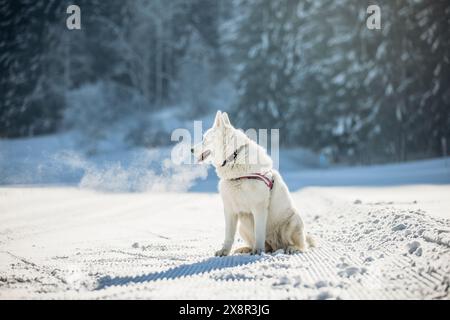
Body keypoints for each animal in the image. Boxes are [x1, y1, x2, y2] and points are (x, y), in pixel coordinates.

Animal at [192, 110, 314, 255]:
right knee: (266, 245)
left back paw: (292, 248)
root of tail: (275, 245)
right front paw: (224, 251)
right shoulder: (229, 209)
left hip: (293, 222)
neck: (234, 158)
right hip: (243, 227)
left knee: (301, 244)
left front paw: (257, 251)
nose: (191, 149)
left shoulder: (259, 208)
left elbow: (259, 233)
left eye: (205, 139)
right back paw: (246, 249)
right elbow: (228, 236)